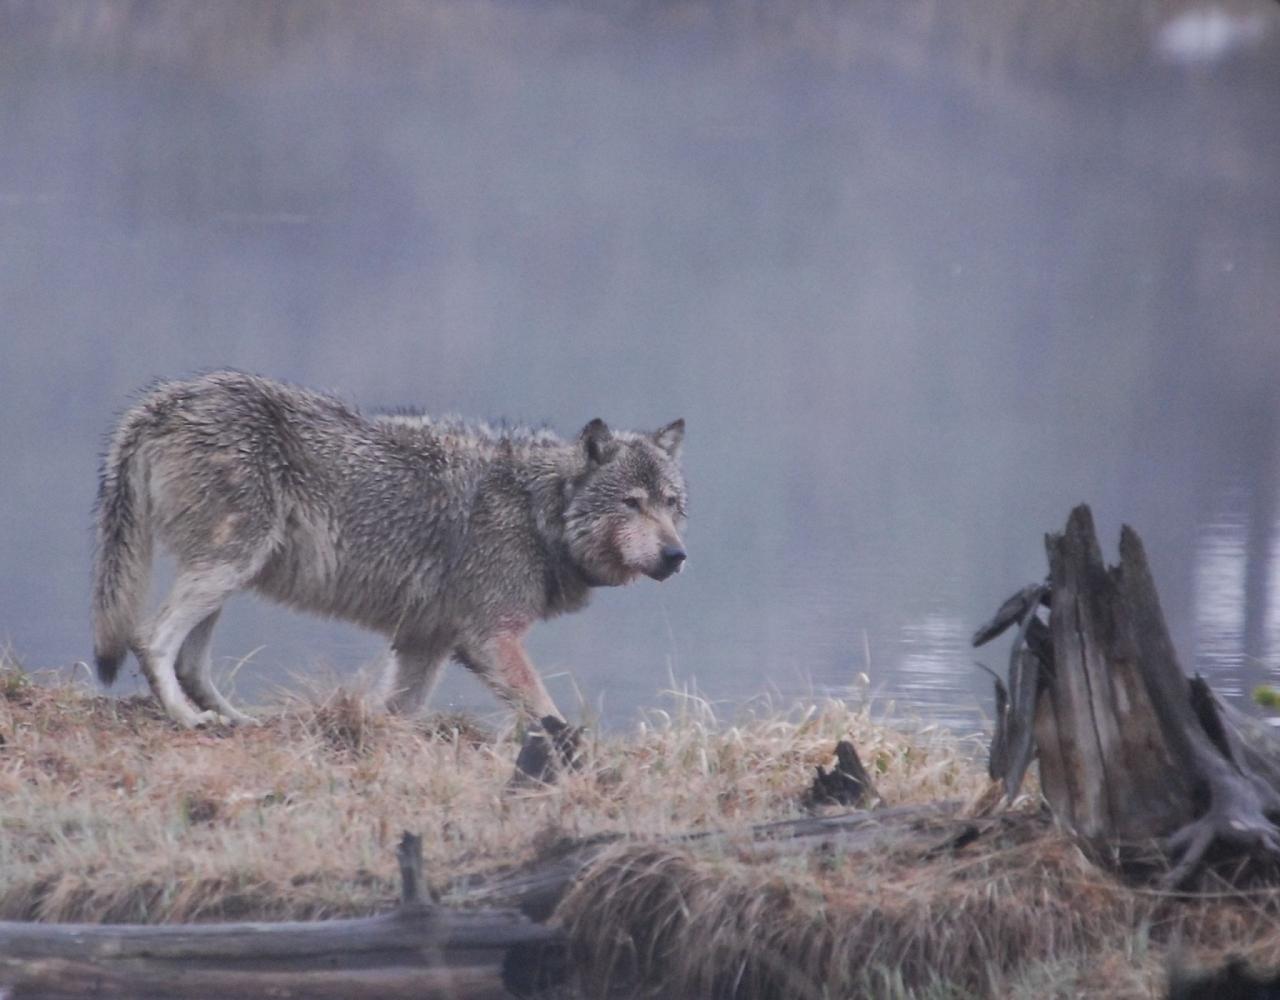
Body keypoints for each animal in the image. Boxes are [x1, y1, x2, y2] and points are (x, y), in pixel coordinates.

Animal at [93, 371, 686, 727]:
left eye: (671, 503)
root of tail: (162, 402)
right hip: (226, 568)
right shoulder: (491, 638)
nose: (677, 557)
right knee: (149, 639)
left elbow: (397, 711)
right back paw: (186, 718)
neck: (539, 511)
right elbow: (547, 714)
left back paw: (237, 719)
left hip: (229, 575)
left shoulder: (425, 642)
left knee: (190, 662)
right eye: (632, 504)